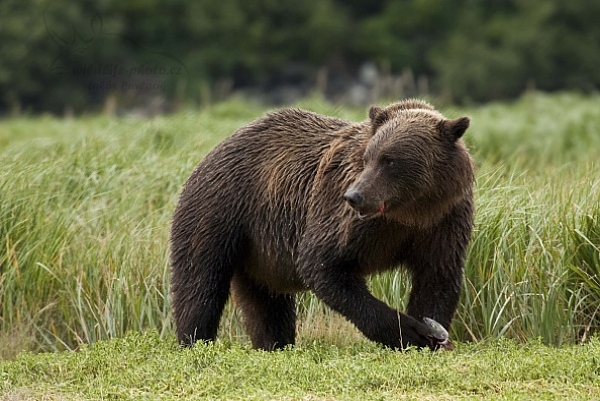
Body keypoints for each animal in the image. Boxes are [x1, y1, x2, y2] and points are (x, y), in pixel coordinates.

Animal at [171, 99, 476, 350]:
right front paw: (411, 332)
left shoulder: (444, 220)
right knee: (200, 282)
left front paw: (431, 333)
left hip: (259, 252)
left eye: (390, 160)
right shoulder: (342, 217)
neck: (410, 212)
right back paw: (194, 339)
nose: (355, 196)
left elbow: (437, 278)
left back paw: (273, 343)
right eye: (368, 157)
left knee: (267, 304)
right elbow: (324, 265)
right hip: (221, 211)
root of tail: (212, 151)